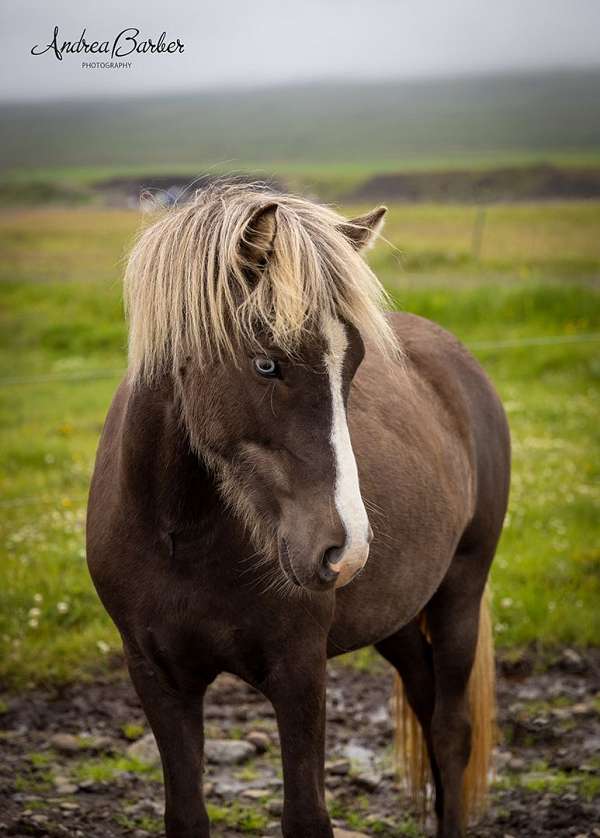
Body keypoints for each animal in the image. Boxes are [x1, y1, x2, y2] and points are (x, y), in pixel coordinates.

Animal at [86, 184, 510, 838]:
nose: (346, 549)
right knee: (425, 698)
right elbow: (186, 813)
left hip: (460, 589)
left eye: (355, 362)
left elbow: (307, 816)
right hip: (397, 618)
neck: (178, 535)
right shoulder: (157, 677)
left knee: (450, 730)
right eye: (267, 362)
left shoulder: (299, 672)